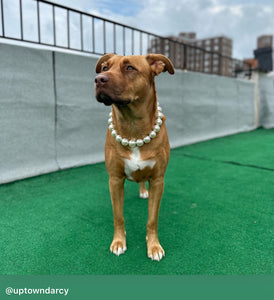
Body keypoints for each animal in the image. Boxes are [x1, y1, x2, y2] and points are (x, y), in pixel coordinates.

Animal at [95, 53, 174, 260]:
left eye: (130, 68)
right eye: (105, 67)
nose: (98, 79)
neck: (133, 127)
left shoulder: (158, 180)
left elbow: (152, 219)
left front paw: (153, 245)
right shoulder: (114, 180)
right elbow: (118, 216)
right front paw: (118, 242)